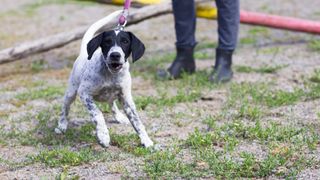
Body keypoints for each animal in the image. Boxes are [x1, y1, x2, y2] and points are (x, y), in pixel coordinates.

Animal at [54, 10, 154, 148]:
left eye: (125, 42)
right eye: (107, 41)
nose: (115, 55)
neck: (110, 74)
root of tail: (83, 53)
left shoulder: (126, 98)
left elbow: (137, 122)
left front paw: (146, 140)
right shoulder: (84, 93)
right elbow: (98, 114)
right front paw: (103, 135)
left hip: (113, 96)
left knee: (112, 104)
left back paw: (119, 116)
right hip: (71, 92)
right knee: (65, 109)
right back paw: (62, 125)